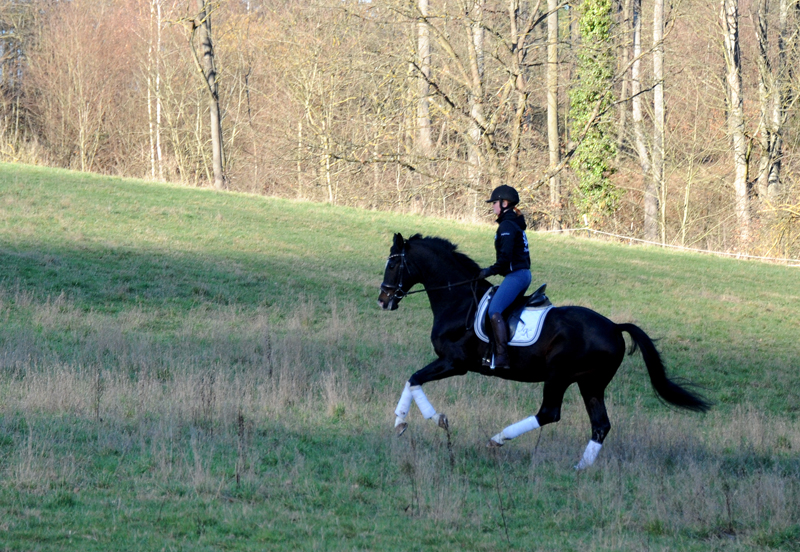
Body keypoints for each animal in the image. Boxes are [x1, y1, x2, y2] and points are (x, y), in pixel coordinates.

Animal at [378, 233, 708, 470]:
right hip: (591, 383)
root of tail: (615, 327)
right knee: (600, 425)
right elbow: (413, 380)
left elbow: (415, 379)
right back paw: (579, 468)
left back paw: (498, 439)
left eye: (393, 264)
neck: (459, 300)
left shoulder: (454, 363)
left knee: (549, 413)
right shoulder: (450, 363)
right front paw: (403, 423)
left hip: (559, 376)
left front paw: (423, 420)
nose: (383, 300)